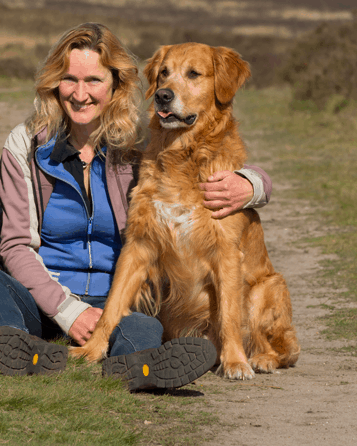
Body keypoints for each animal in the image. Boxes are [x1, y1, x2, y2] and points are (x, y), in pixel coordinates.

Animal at [71, 42, 298, 380]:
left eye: (194, 74)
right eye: (163, 73)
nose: (163, 95)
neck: (184, 153)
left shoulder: (226, 251)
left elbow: (230, 314)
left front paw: (235, 362)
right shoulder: (139, 244)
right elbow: (112, 305)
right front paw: (92, 349)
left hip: (269, 285)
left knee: (284, 347)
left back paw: (260, 358)